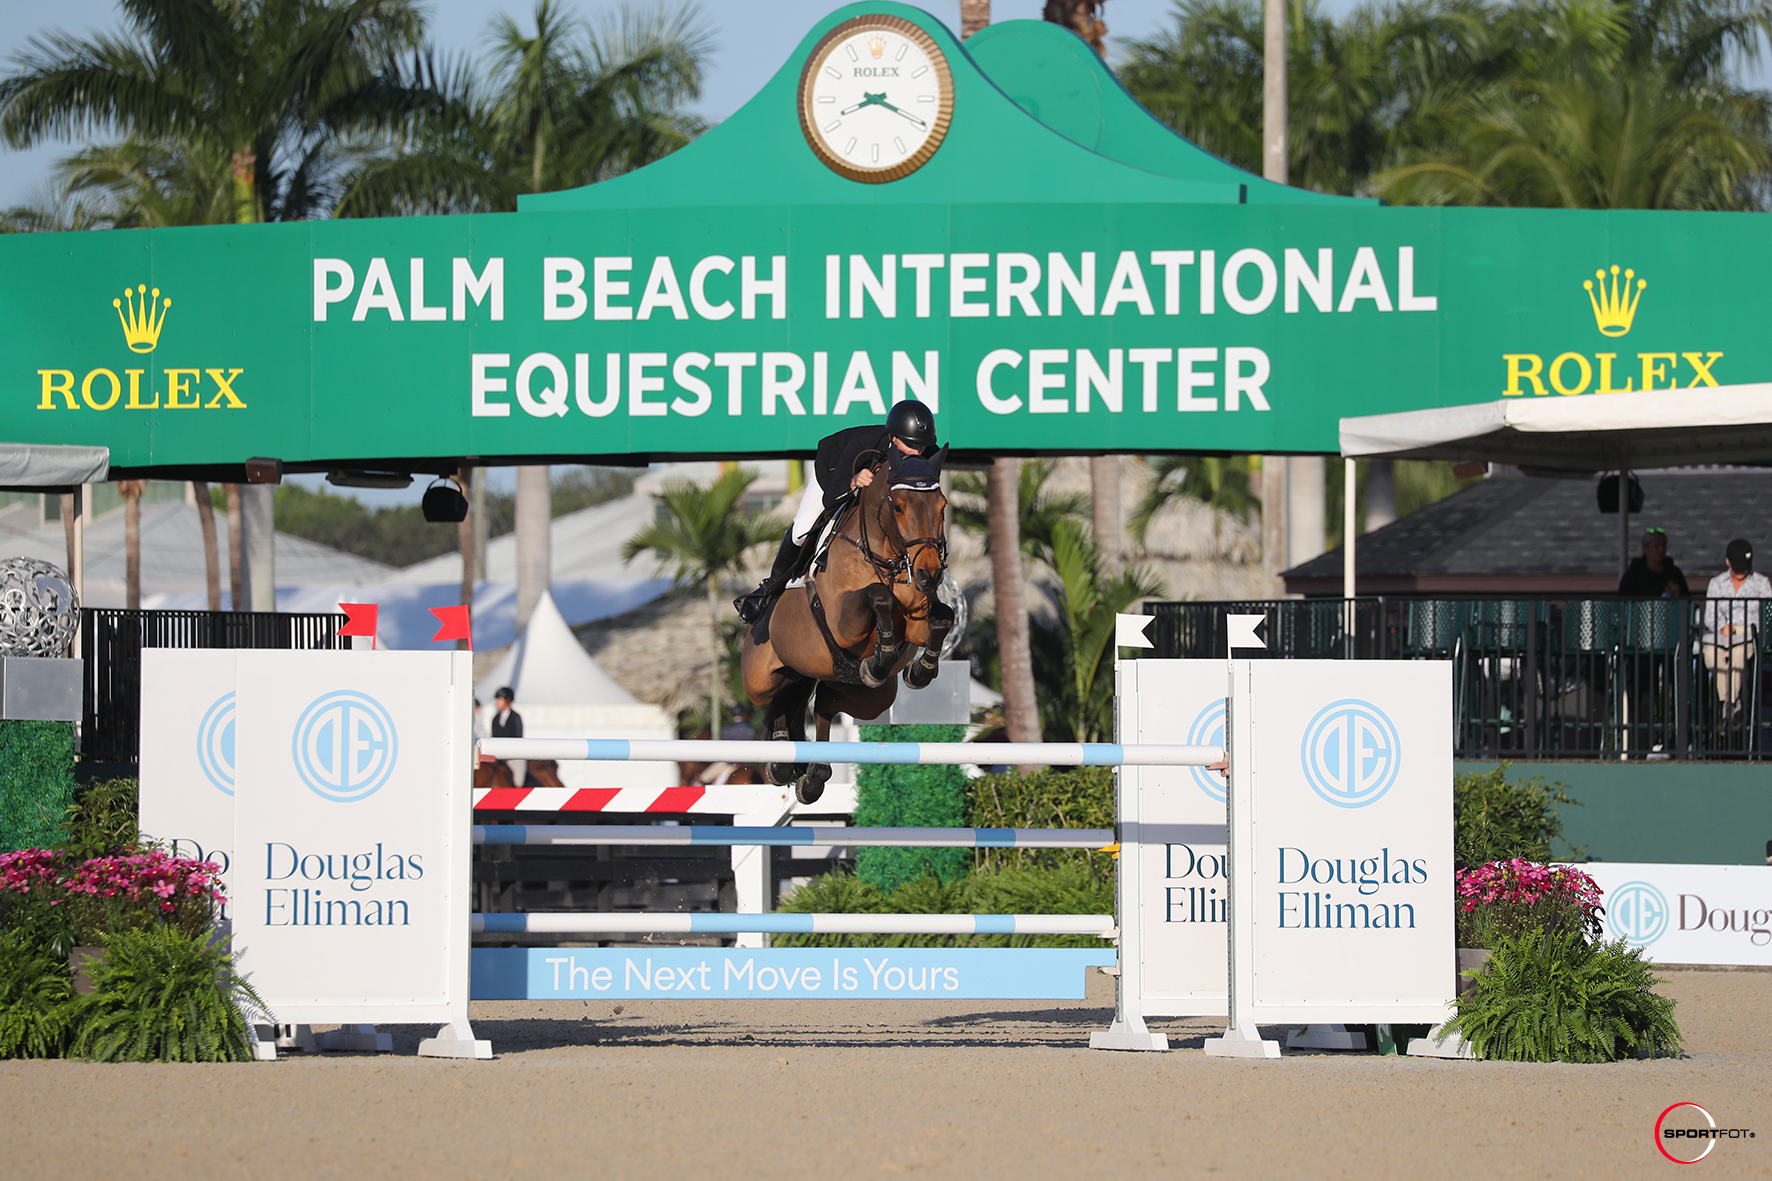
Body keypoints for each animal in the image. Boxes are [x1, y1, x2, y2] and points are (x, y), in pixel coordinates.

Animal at [737, 446, 956, 805]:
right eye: (898, 506)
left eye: (942, 506)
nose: (929, 574)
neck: (884, 557)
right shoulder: (843, 622)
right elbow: (878, 597)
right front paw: (883, 657)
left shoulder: (917, 623)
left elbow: (943, 617)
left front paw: (919, 670)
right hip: (759, 679)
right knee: (780, 693)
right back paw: (781, 759)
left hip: (863, 696)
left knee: (821, 706)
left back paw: (812, 775)